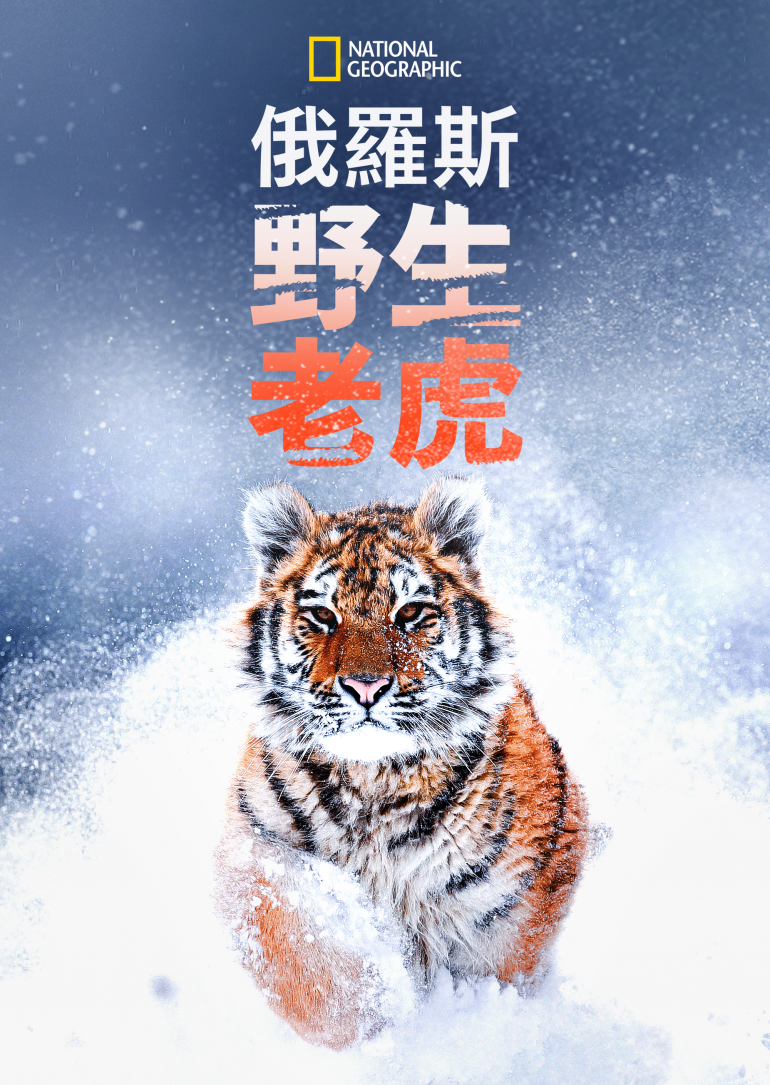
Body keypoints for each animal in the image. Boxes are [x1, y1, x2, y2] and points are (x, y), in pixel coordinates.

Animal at [214, 476, 588, 1049]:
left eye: (409, 613)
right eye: (323, 616)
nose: (365, 686)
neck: (376, 782)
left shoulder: (515, 899)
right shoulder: (251, 846)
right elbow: (296, 941)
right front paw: (373, 1013)